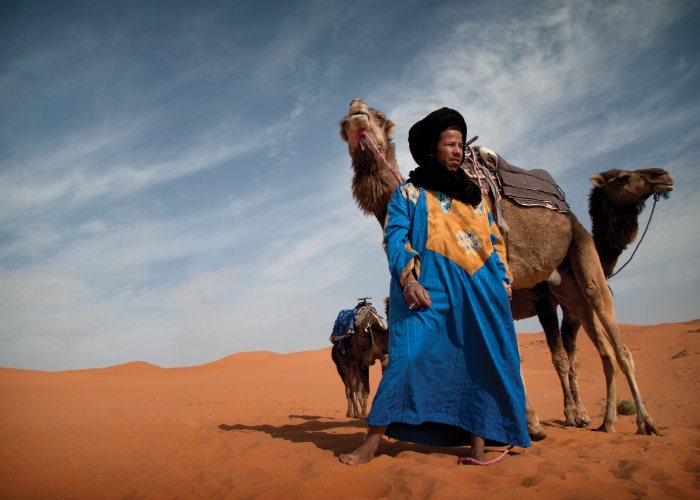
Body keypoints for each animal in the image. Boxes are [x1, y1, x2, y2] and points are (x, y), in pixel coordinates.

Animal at [340, 97, 660, 438]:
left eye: (379, 116)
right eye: (343, 126)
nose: (356, 107)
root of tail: (570, 212)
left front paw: (530, 424)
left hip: (580, 249)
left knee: (611, 331)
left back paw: (644, 421)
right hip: (566, 285)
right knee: (603, 348)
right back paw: (607, 421)